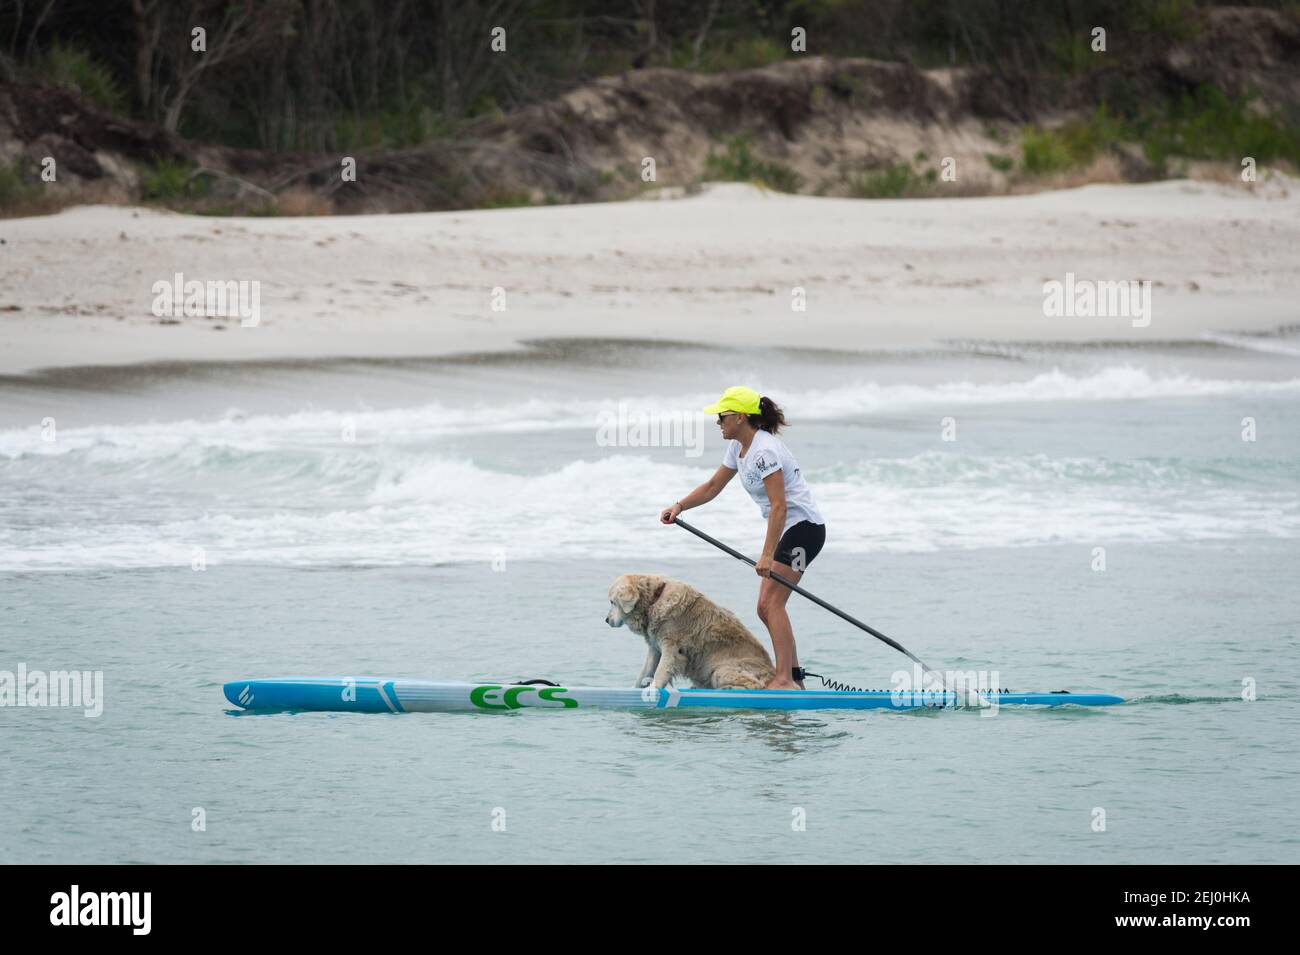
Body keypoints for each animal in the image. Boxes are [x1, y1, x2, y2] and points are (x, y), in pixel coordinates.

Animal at [605, 571, 774, 691]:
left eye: (612, 602)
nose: (606, 620)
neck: (654, 599)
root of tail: (773, 673)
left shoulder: (671, 645)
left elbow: (661, 669)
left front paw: (653, 687)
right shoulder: (654, 646)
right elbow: (645, 670)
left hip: (722, 670)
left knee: (753, 685)